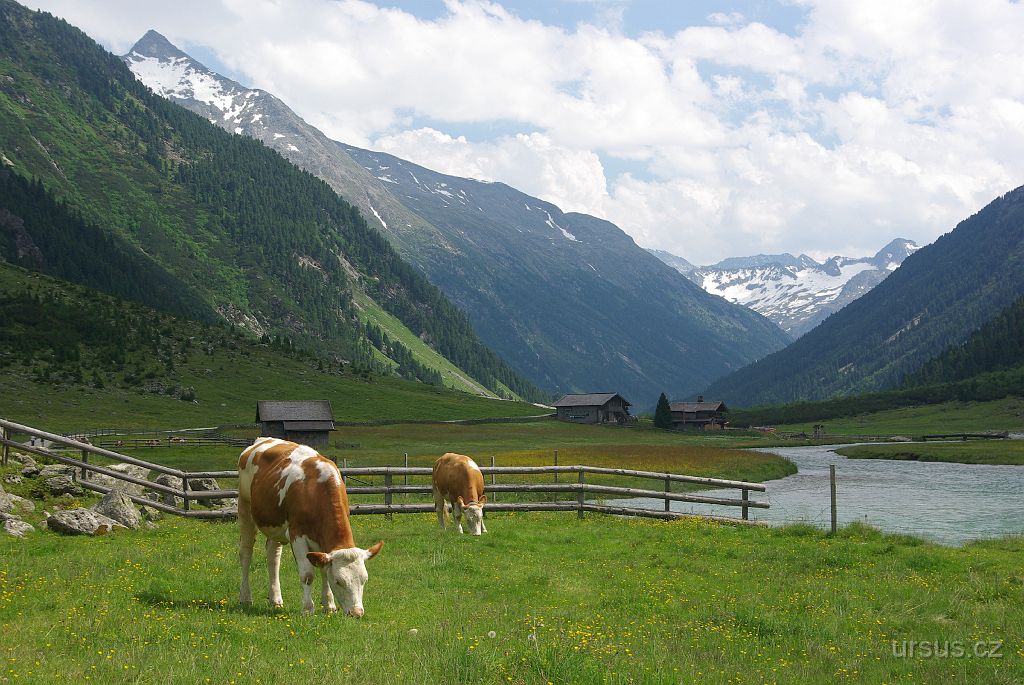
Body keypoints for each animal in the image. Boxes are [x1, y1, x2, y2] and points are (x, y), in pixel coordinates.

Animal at [237, 438, 382, 614]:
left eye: (364, 580)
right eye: (339, 581)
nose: (357, 613)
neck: (316, 492)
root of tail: (262, 440)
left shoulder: (323, 541)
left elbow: (324, 570)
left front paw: (329, 606)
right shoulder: (297, 535)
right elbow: (307, 574)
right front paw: (308, 609)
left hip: (275, 525)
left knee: (273, 557)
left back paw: (275, 599)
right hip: (245, 509)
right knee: (246, 553)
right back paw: (245, 597)